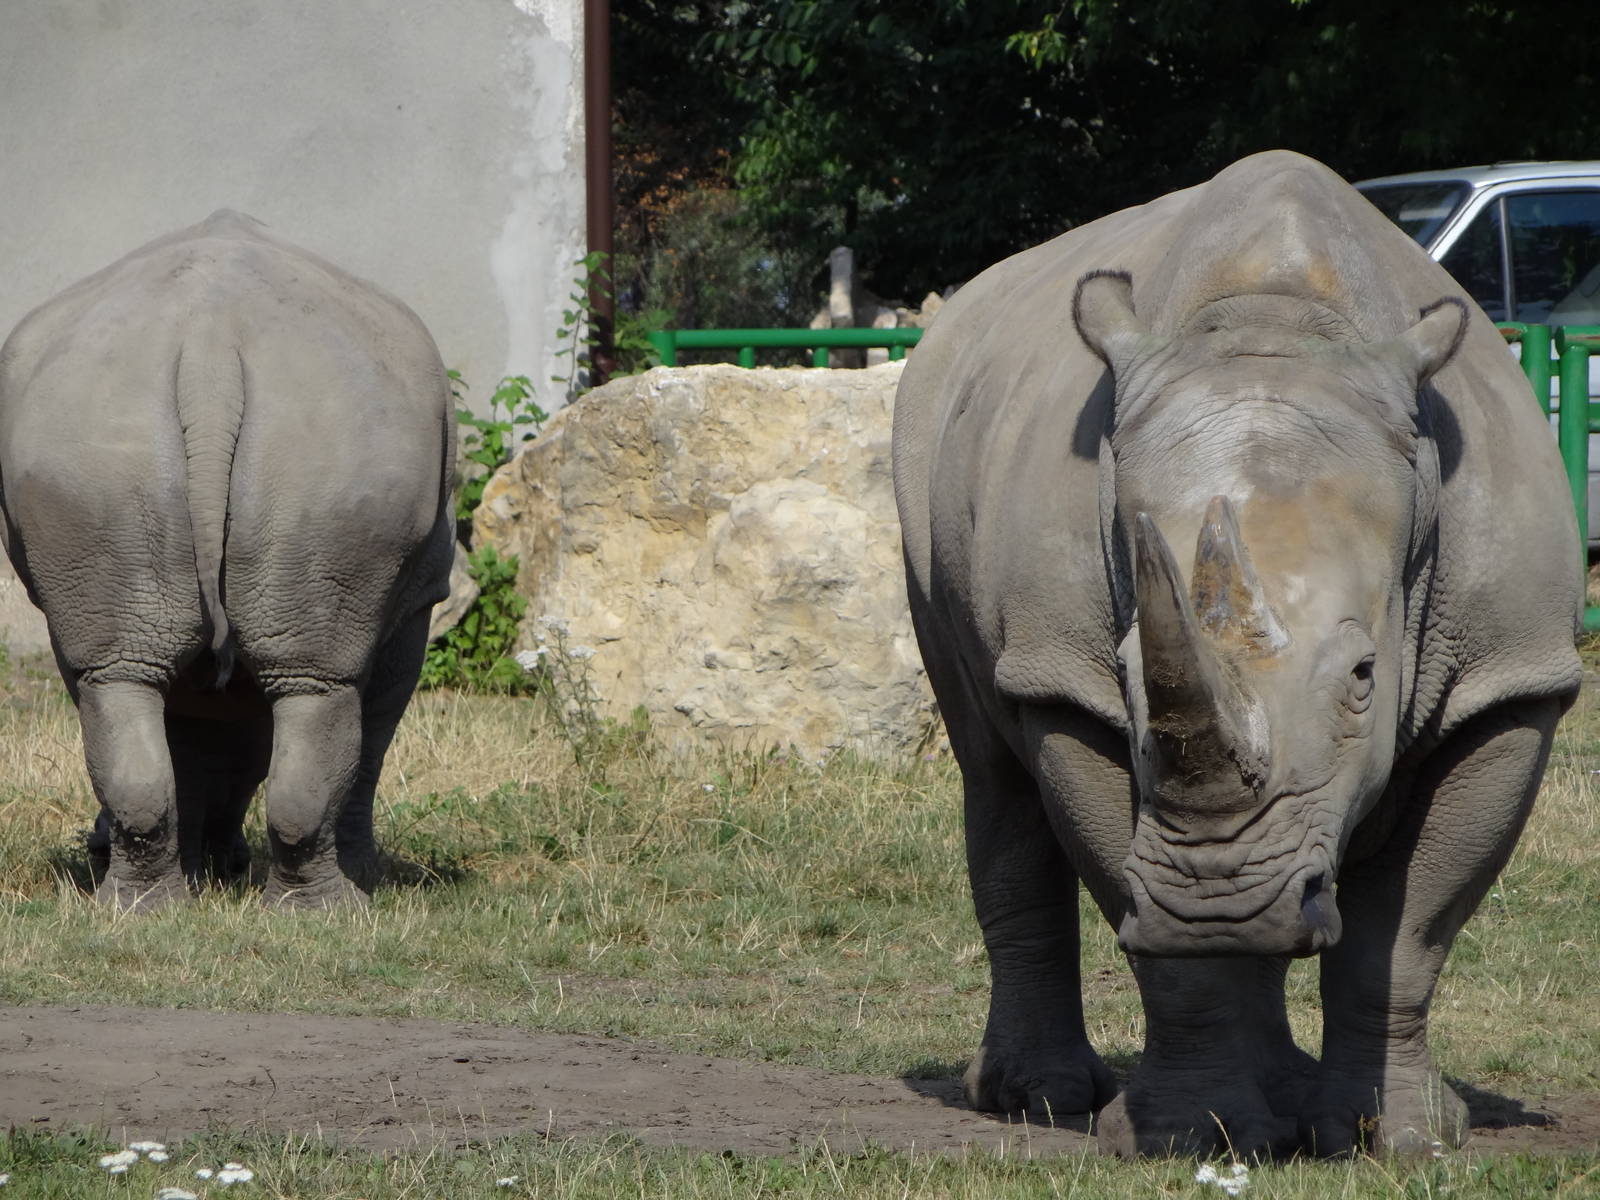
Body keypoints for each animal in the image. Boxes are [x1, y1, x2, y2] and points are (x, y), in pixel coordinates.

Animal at [0, 211, 453, 909]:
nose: (93, 846)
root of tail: (209, 346)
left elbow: (200, 750)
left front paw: (205, 869)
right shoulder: (418, 605)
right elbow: (368, 741)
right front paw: (366, 873)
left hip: (97, 449)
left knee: (119, 680)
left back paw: (137, 912)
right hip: (320, 447)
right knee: (317, 688)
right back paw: (336, 912)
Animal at [892, 151, 1583, 1156]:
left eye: (1365, 679)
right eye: (1125, 675)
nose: (1217, 900)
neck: (1281, 331)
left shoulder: (1509, 682)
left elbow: (1408, 929)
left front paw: (1401, 1141)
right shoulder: (1067, 681)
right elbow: (1159, 928)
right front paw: (1182, 1138)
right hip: (917, 456)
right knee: (991, 766)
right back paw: (1045, 1098)